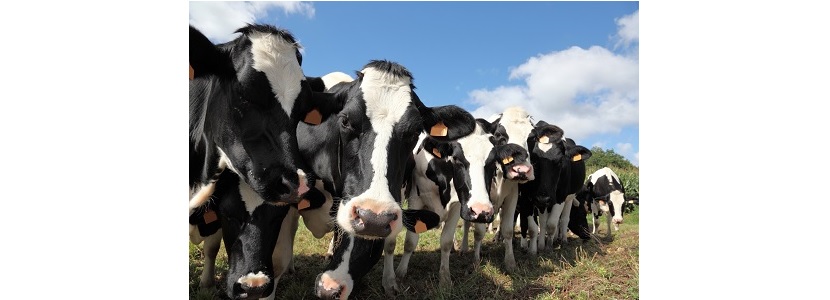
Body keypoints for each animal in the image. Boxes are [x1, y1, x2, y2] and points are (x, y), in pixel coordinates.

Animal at [394, 127, 500, 288]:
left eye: (493, 162)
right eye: (456, 159)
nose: (482, 211)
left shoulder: (457, 205)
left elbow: (446, 241)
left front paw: (444, 278)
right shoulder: (415, 199)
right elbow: (410, 241)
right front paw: (400, 272)